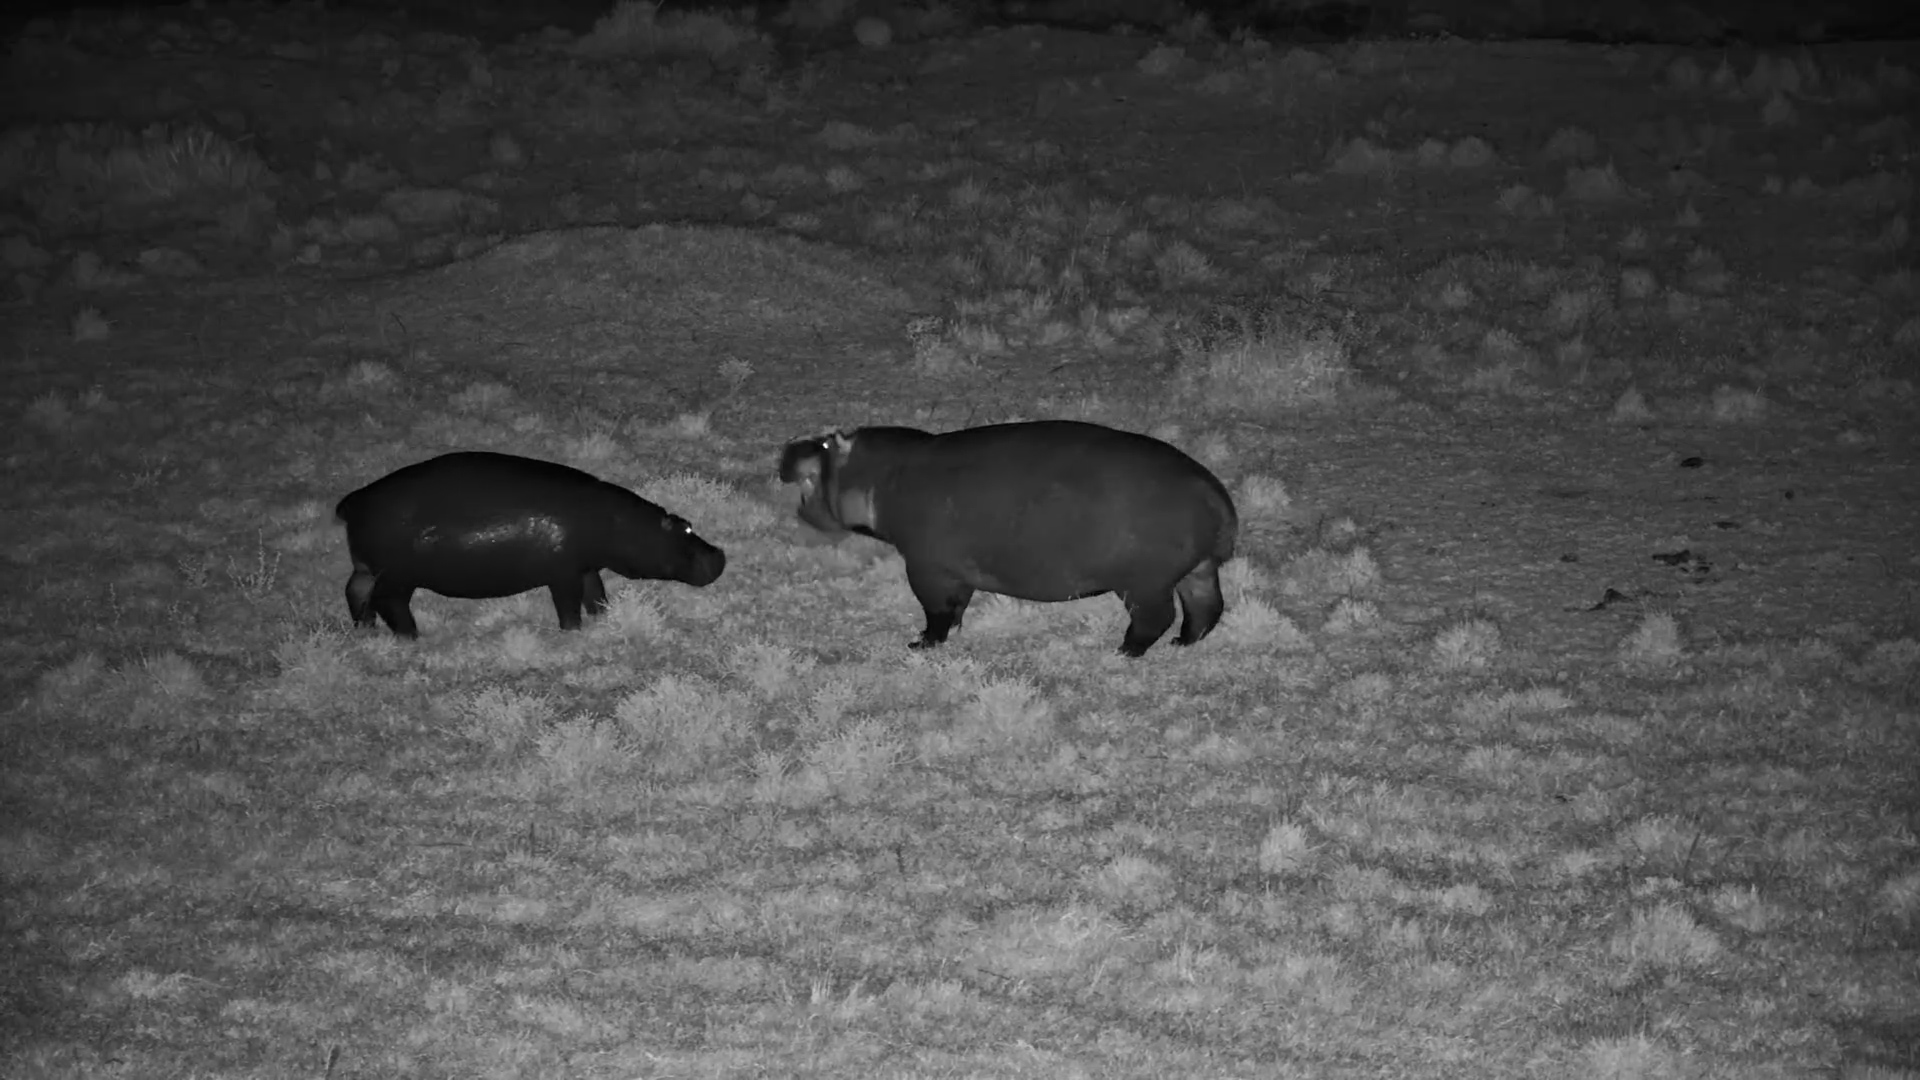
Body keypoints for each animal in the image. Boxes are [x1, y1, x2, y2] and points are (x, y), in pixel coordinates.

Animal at [334, 451, 726, 638]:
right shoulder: (563, 573)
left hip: (366, 567)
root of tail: (354, 501)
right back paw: (413, 637)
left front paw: (603, 617)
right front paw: (573, 633)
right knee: (387, 601)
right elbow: (568, 605)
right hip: (398, 575)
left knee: (355, 591)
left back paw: (365, 631)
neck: (622, 525)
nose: (720, 555)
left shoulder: (585, 566)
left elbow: (595, 592)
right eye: (684, 530)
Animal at [778, 420, 1237, 657]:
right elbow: (956, 606)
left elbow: (936, 610)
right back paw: (1182, 644)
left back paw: (1124, 651)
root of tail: (1213, 494)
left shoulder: (927, 567)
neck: (880, 473)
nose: (786, 443)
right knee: (1205, 607)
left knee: (1155, 617)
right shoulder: (952, 571)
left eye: (823, 443)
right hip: (1197, 569)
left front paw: (920, 644)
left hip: (1144, 583)